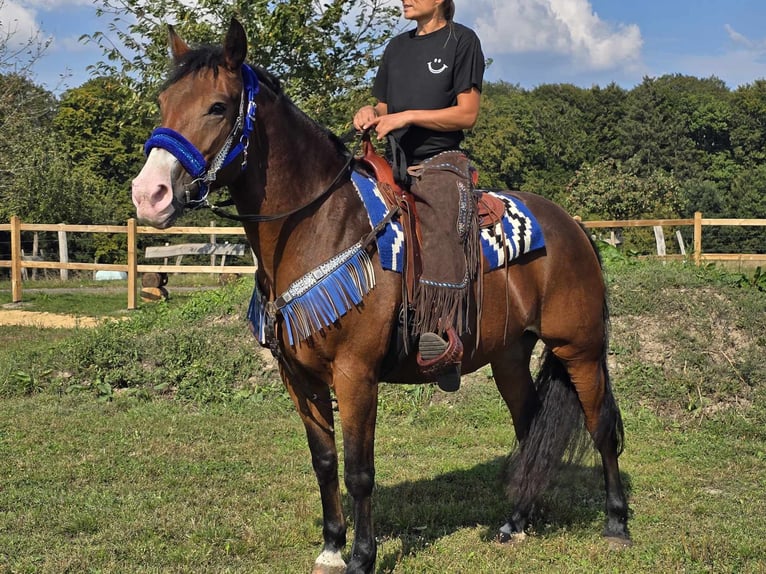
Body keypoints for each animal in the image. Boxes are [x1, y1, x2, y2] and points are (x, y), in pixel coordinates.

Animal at [134, 19, 632, 574]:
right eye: (163, 101)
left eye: (218, 106)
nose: (148, 195)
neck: (319, 225)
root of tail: (573, 226)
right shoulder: (298, 376)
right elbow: (325, 462)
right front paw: (332, 546)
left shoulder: (356, 373)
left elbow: (359, 470)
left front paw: (361, 557)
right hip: (508, 355)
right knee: (528, 427)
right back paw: (516, 522)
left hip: (579, 348)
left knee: (602, 426)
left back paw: (616, 522)